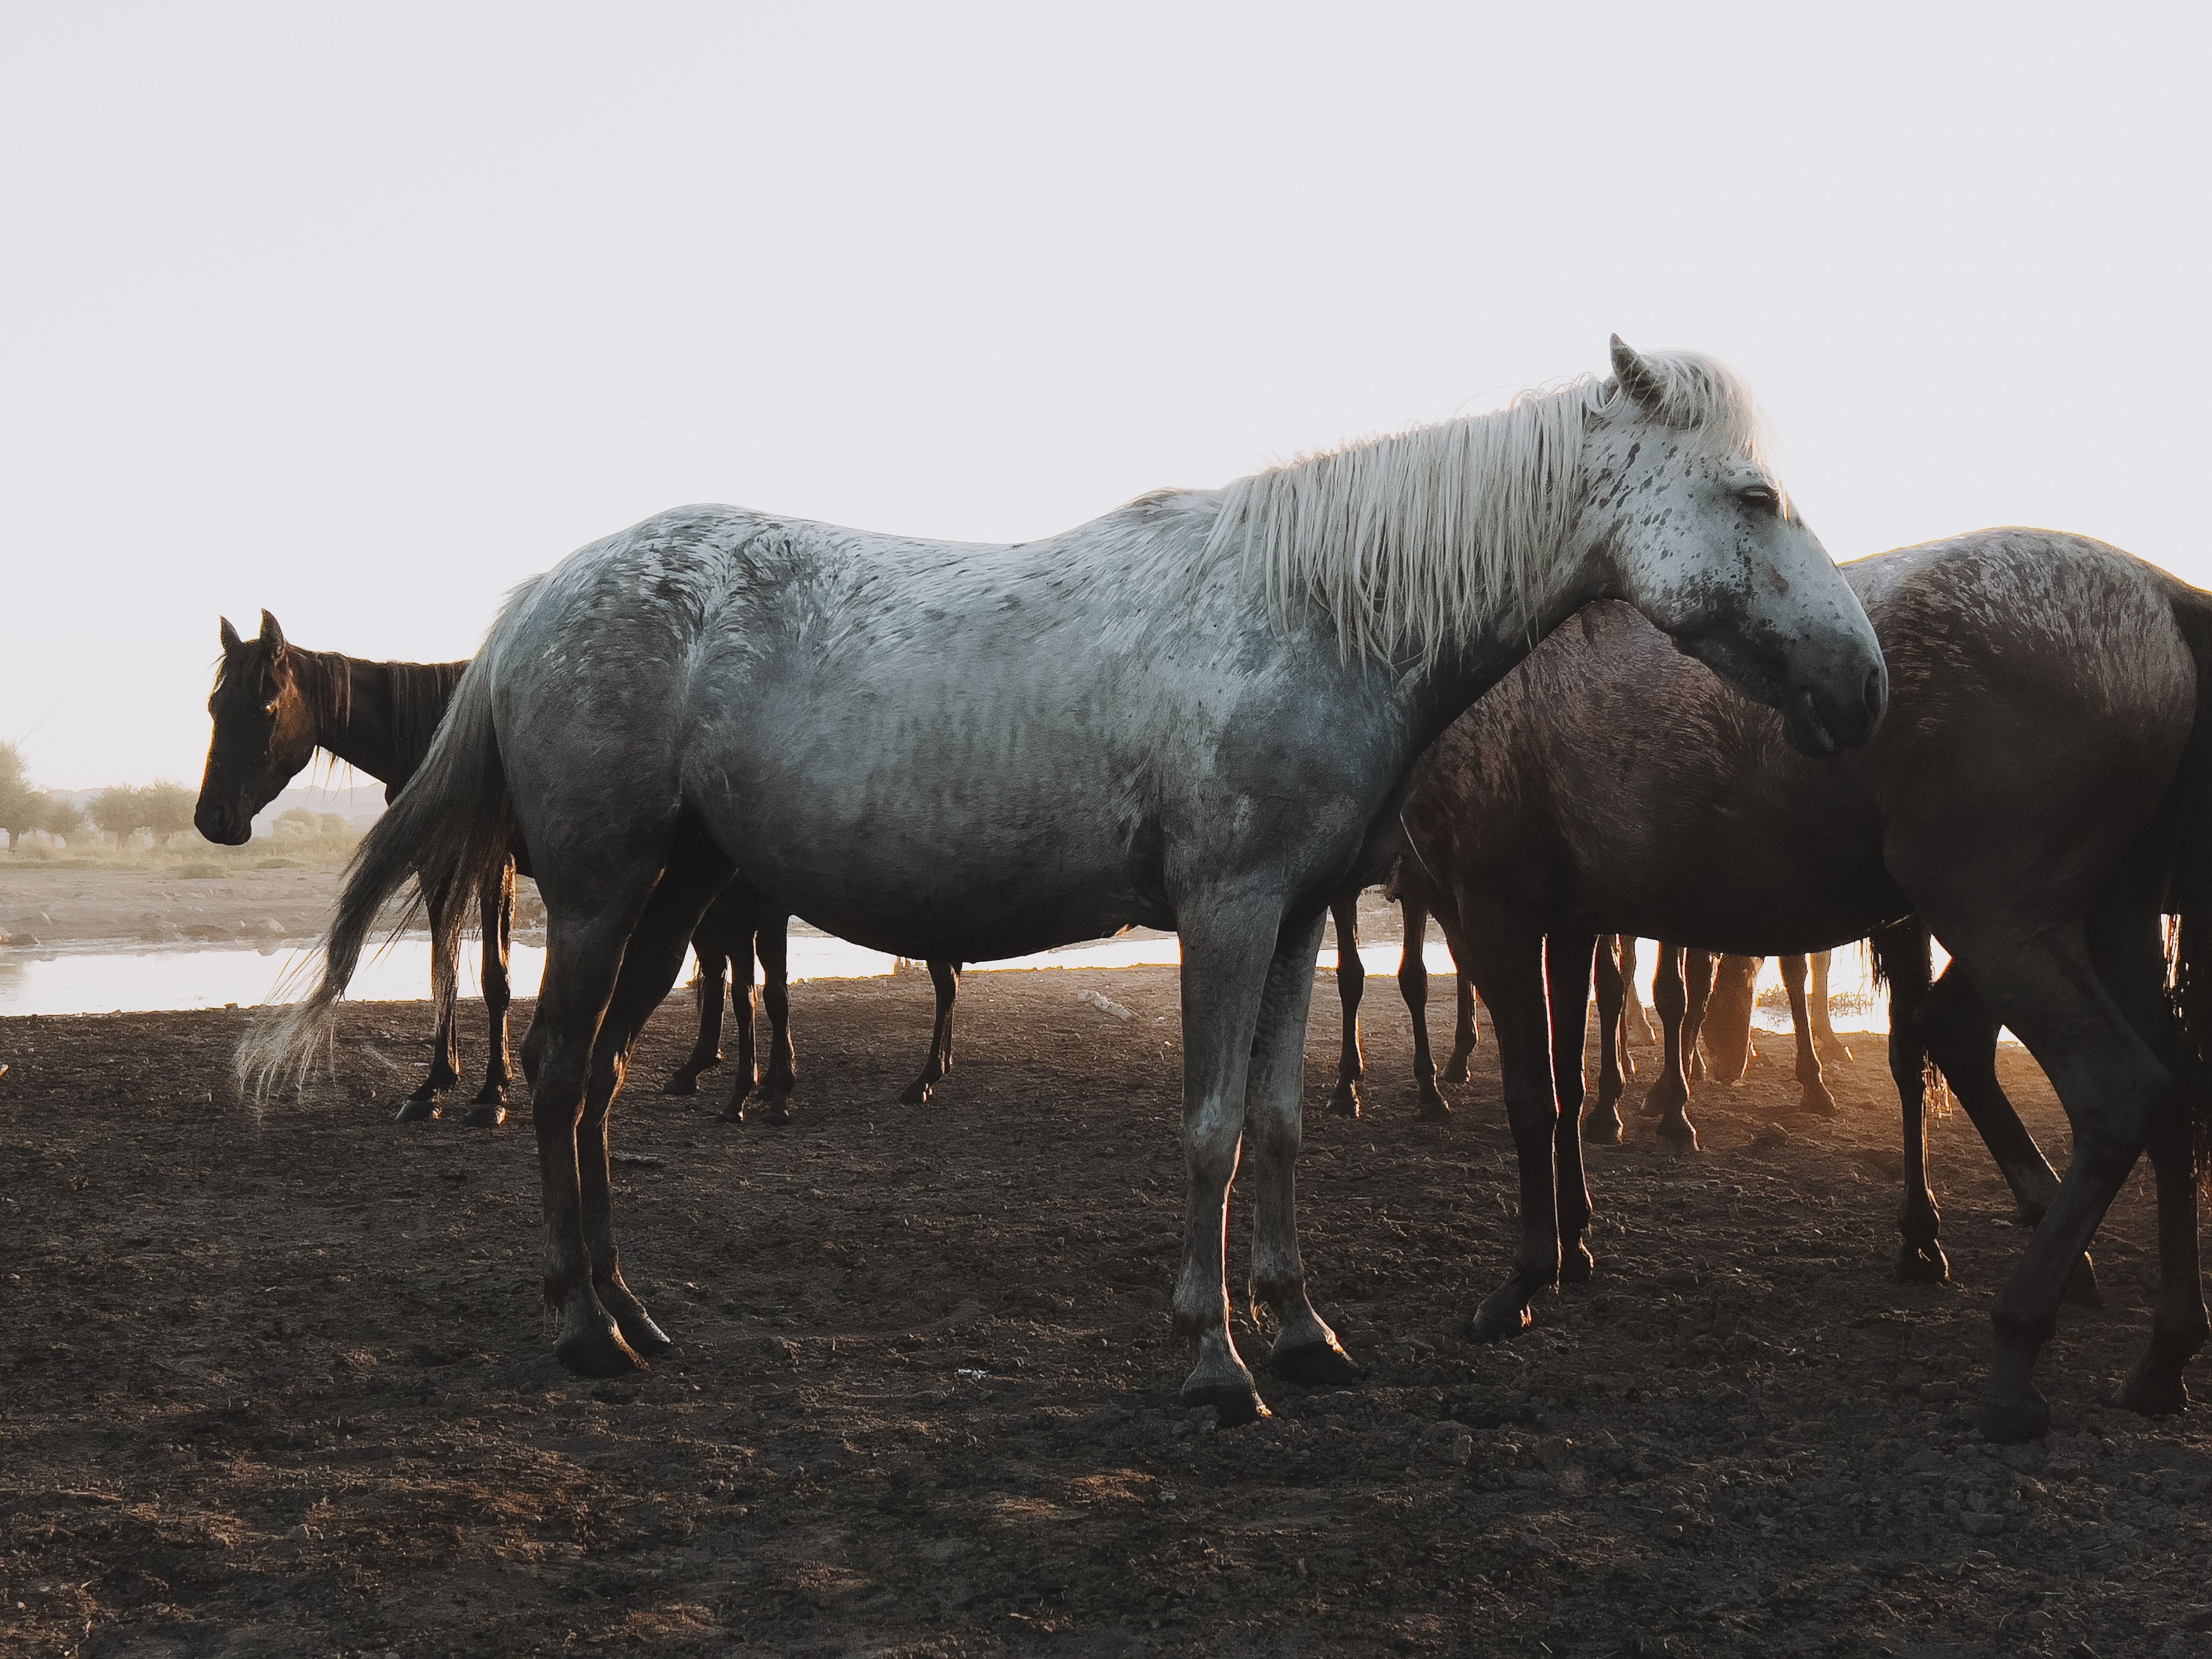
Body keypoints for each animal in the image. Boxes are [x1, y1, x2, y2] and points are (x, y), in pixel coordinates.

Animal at [194, 614, 959, 1126]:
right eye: (213, 706)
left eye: (265, 705)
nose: (213, 819)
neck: (445, 731)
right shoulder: (440, 867)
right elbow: (444, 970)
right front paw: (434, 1084)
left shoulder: (493, 866)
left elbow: (495, 978)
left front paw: (490, 1095)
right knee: (729, 971)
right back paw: (721, 1074)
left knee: (786, 977)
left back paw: (829, 1082)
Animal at [1345, 529, 2212, 1442]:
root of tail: (2154, 592)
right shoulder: (1571, 924)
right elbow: (1572, 1083)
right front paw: (1576, 1243)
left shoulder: (1497, 912)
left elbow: (1531, 1098)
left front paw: (1523, 1281)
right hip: (2114, 922)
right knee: (2171, 1093)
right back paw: (2164, 1356)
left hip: (2003, 924)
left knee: (2115, 1090)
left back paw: (2016, 1353)